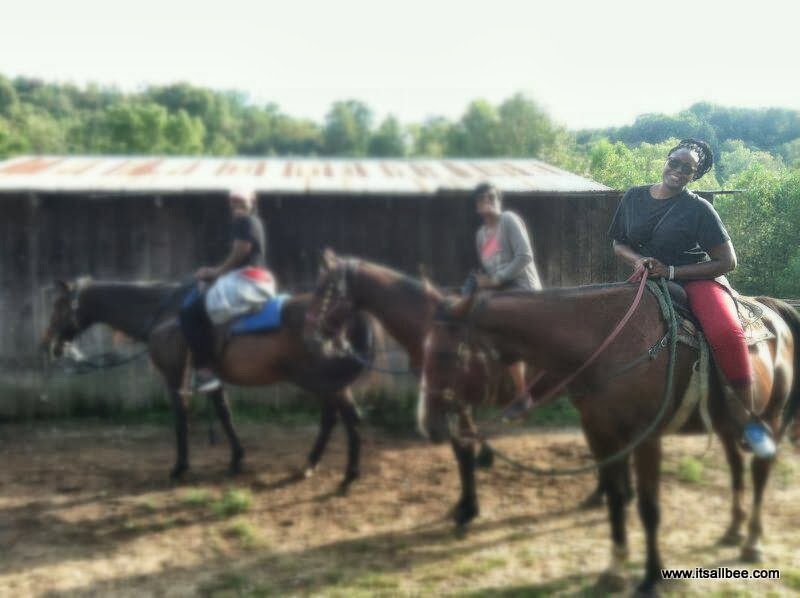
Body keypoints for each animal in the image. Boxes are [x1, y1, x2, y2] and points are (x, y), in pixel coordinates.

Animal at [39, 278, 370, 492]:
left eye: (59, 306)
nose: (49, 346)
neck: (164, 313)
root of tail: (336, 318)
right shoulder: (210, 377)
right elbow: (224, 414)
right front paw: (236, 460)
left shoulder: (174, 375)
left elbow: (181, 418)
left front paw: (180, 467)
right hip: (323, 382)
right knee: (332, 417)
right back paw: (311, 464)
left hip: (323, 381)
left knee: (348, 417)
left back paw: (349, 475)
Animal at [302, 251, 608, 528]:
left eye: (326, 290)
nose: (311, 334)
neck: (429, 327)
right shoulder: (446, 402)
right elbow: (462, 449)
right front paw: (465, 502)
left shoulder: (455, 402)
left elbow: (463, 449)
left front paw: (468, 510)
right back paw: (599, 493)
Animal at [418, 284, 800, 596]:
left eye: (446, 354)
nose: (430, 426)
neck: (605, 345)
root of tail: (774, 312)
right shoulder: (600, 434)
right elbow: (616, 500)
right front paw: (615, 571)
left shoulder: (645, 438)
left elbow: (649, 508)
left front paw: (651, 579)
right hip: (725, 425)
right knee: (736, 469)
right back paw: (733, 530)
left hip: (770, 418)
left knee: (760, 473)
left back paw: (752, 543)